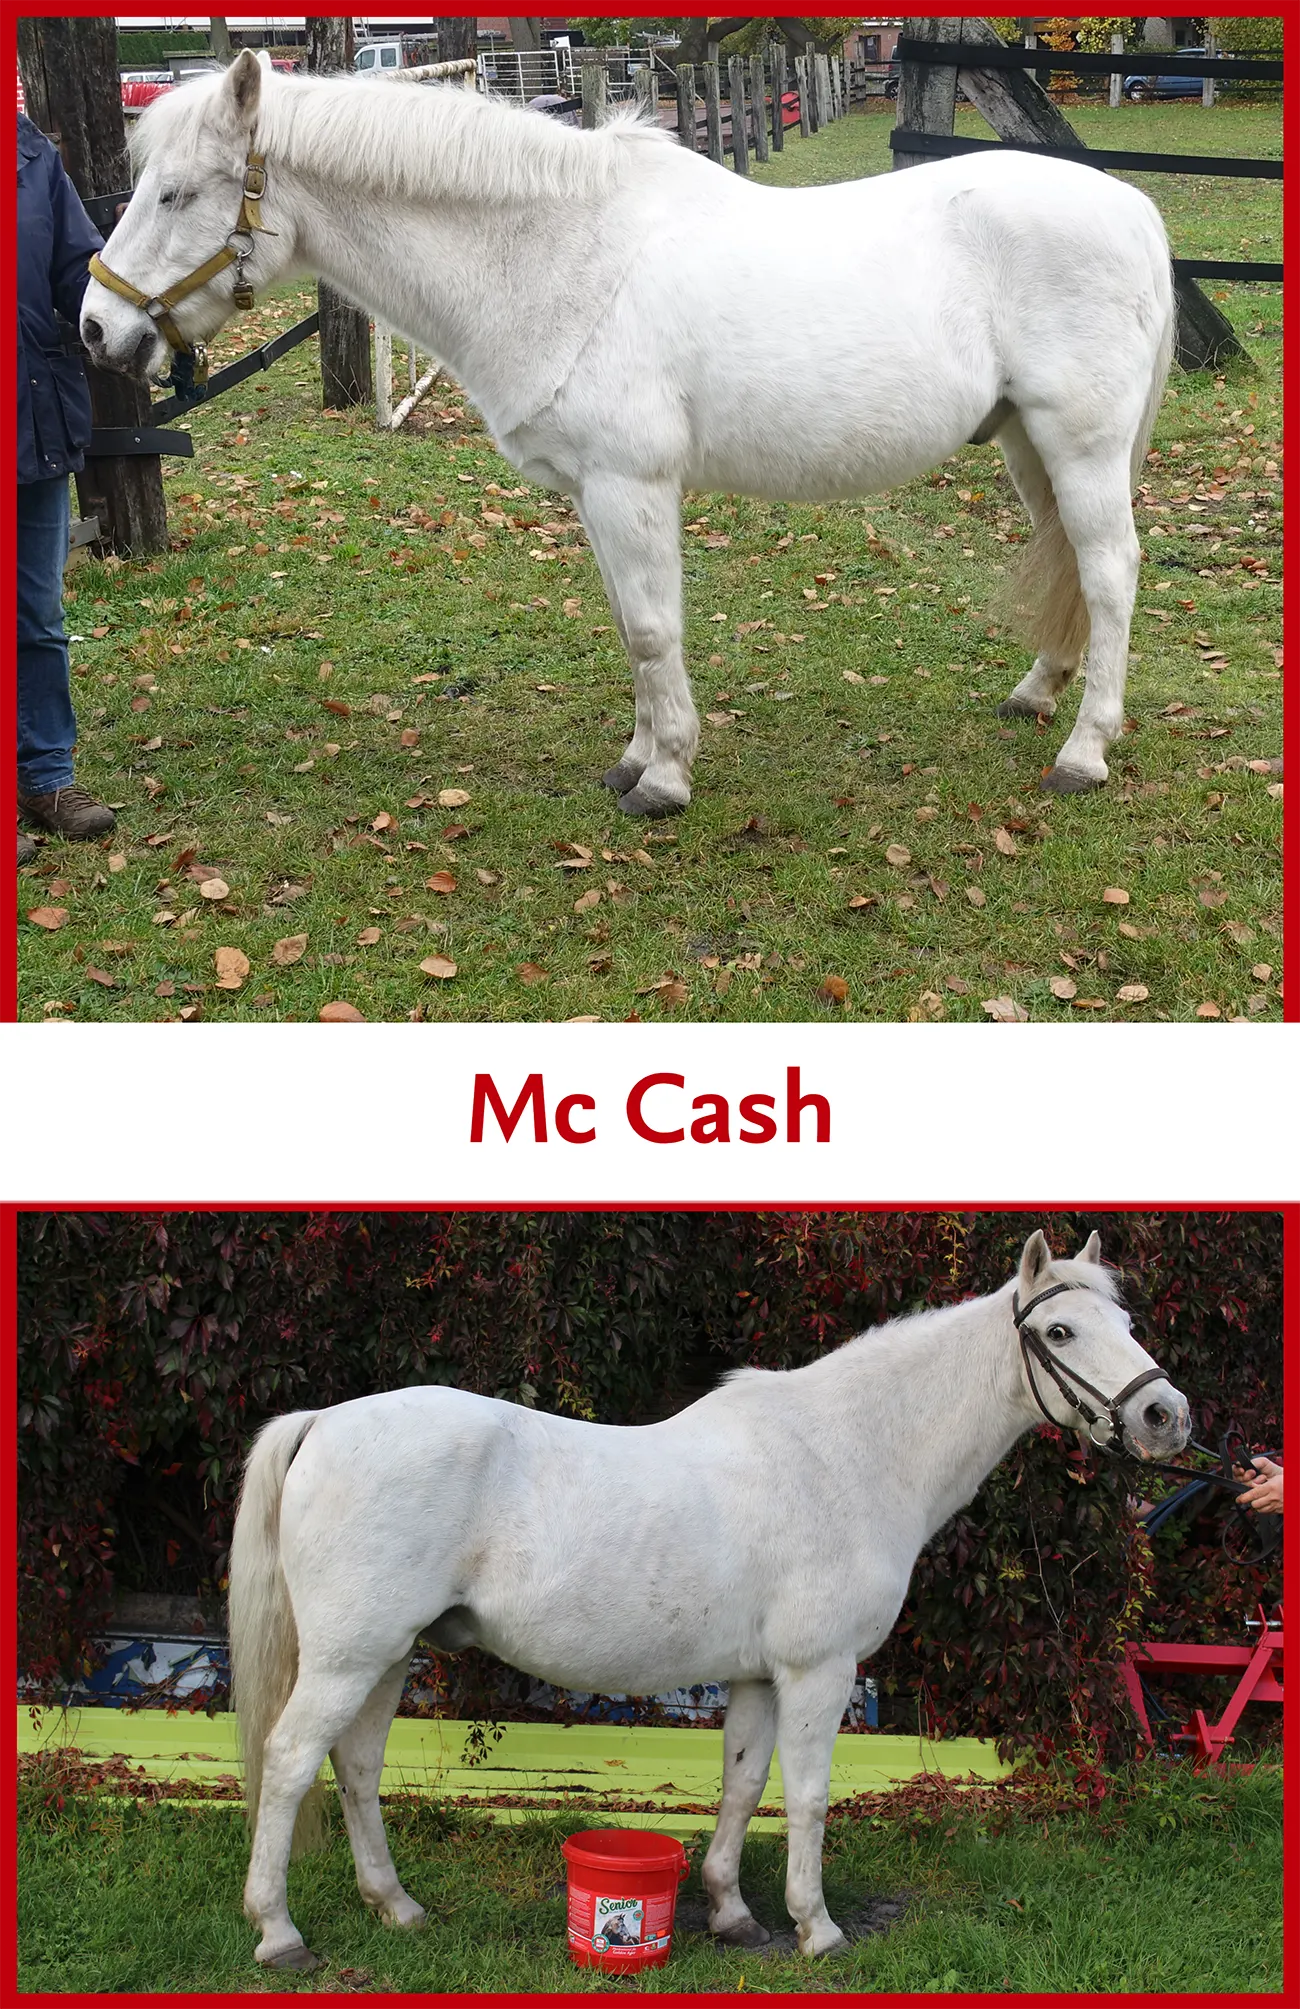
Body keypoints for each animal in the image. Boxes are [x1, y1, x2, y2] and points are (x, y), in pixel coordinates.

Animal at [81, 54, 1175, 816]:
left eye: (178, 192)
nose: (97, 328)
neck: (560, 256)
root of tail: (1132, 206)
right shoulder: (595, 496)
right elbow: (630, 627)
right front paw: (638, 758)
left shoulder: (629, 484)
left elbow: (652, 629)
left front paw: (666, 779)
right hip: (1026, 445)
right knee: (1069, 567)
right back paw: (1036, 692)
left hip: (1078, 447)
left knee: (1109, 573)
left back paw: (1084, 752)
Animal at [226, 1228, 1189, 1969]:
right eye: (1060, 1329)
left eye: (1126, 1322)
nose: (1166, 1417)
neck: (847, 1449)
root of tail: (324, 1420)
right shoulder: (818, 1670)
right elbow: (807, 1795)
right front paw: (817, 1928)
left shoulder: (760, 1676)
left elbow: (742, 1783)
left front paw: (732, 1913)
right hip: (350, 1657)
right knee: (291, 1760)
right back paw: (279, 1933)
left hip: (387, 1653)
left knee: (355, 1767)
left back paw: (397, 1907)